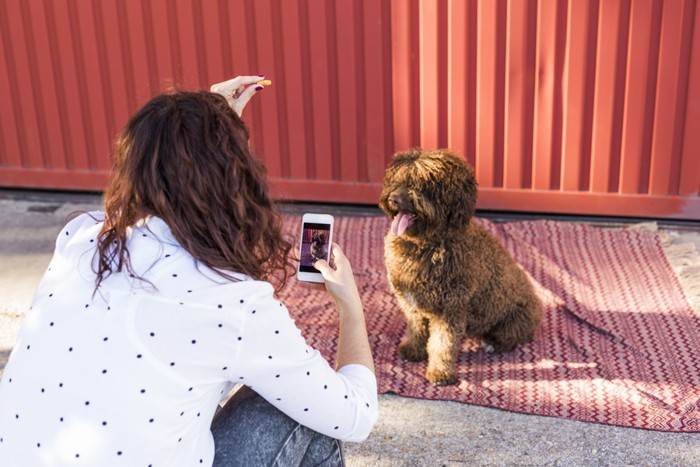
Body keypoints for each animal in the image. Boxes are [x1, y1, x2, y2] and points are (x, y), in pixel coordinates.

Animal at [380, 148, 544, 386]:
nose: (393, 199)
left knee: (510, 337)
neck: (426, 244)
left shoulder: (450, 308)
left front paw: (440, 372)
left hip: (515, 320)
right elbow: (416, 329)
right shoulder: (411, 304)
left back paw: (491, 343)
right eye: (398, 180)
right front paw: (412, 349)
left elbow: (442, 344)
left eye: (424, 186)